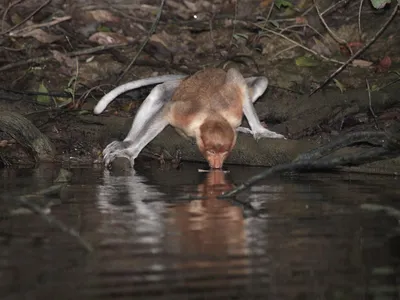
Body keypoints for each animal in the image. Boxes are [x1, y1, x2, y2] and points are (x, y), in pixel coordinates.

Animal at [94, 68, 284, 170]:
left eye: (224, 152)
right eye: (211, 152)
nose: (216, 165)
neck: (212, 116)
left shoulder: (232, 111)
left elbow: (235, 76)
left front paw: (260, 131)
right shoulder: (183, 114)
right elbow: (166, 110)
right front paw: (129, 151)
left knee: (259, 81)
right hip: (176, 88)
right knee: (159, 91)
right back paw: (126, 142)